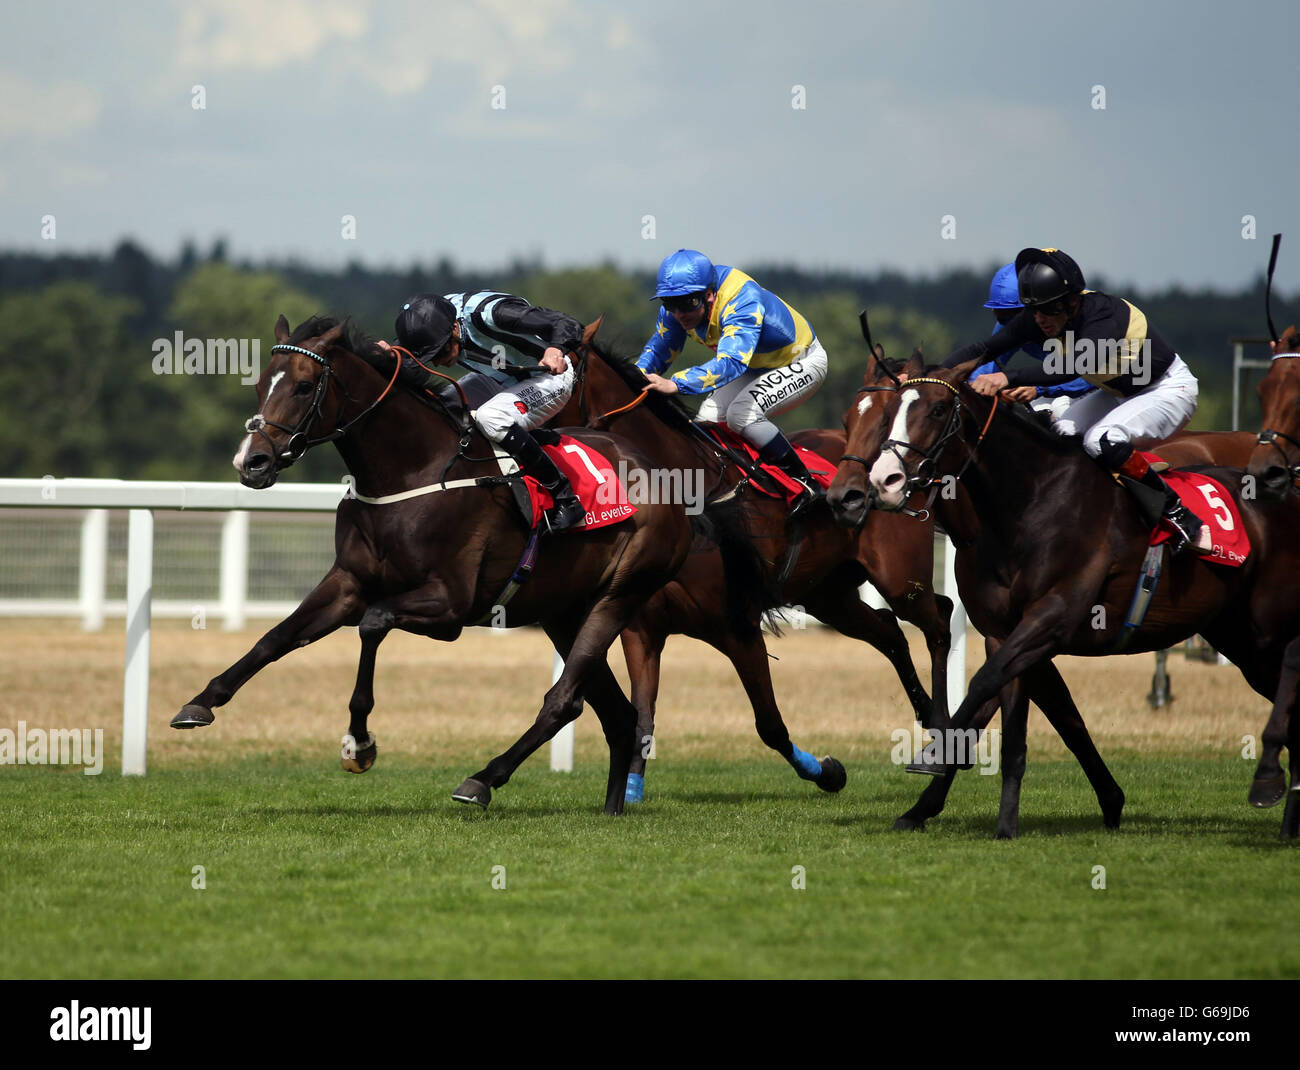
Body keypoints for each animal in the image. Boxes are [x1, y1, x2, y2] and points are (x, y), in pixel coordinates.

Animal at [172, 313, 702, 816]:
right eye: (262, 384)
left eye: (304, 386)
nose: (252, 462)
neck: (410, 471)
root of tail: (663, 480)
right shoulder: (348, 582)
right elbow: (276, 637)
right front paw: (200, 702)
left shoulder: (450, 606)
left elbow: (373, 623)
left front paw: (359, 743)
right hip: (562, 612)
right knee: (617, 715)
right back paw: (611, 810)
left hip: (618, 595)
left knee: (564, 701)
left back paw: (482, 781)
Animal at [548, 338, 956, 800]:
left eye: (549, 382)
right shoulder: (641, 629)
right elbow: (643, 716)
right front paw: (631, 788)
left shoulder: (738, 627)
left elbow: (770, 725)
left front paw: (826, 771)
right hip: (828, 597)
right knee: (890, 633)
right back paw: (928, 716)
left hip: (899, 578)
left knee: (939, 618)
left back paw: (943, 734)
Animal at [826, 358, 1300, 837]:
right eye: (877, 415)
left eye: (939, 409)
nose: (868, 488)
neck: (1028, 503)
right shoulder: (1006, 631)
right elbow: (1035, 713)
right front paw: (980, 815)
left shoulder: (1052, 617)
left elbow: (988, 687)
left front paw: (934, 756)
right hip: (1237, 637)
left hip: (1267, 629)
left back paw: (1270, 785)